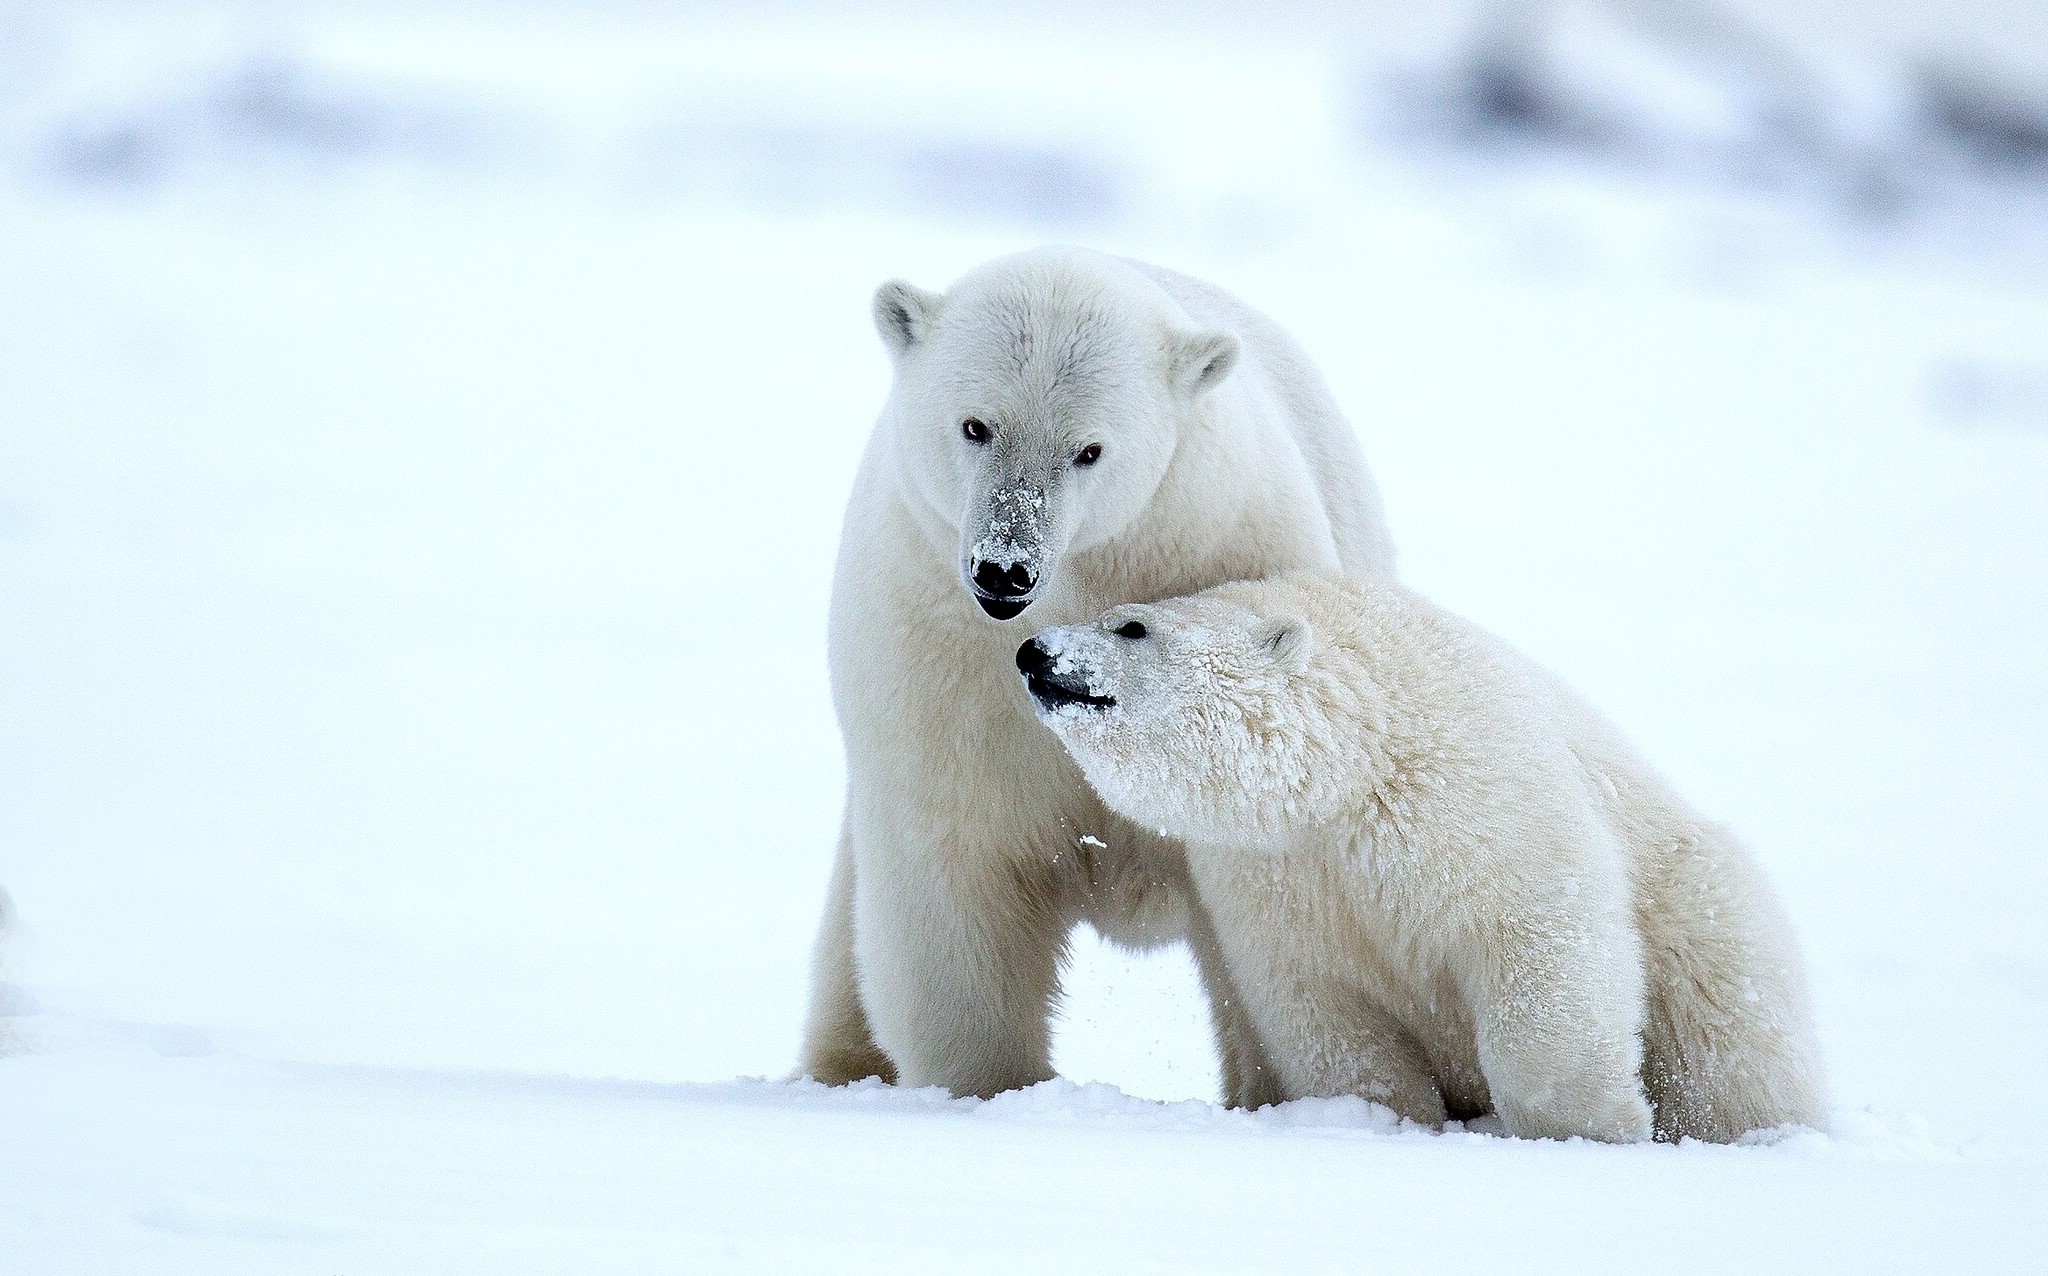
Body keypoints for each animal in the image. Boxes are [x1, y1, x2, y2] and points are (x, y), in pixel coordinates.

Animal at [796, 247, 1397, 1103]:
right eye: (976, 425)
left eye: (1089, 450)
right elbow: (954, 878)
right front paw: (987, 1087)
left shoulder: (1225, 551)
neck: (1085, 577)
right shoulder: (931, 651)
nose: (1005, 570)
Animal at [1018, 572, 1826, 1142]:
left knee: (1730, 1050)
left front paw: (1597, 1126)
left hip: (1700, 909)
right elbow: (1322, 1008)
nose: (1034, 651)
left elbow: (1538, 940)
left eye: (1132, 624)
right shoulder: (1273, 874)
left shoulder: (1471, 789)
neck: (1351, 763)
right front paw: (1388, 1122)